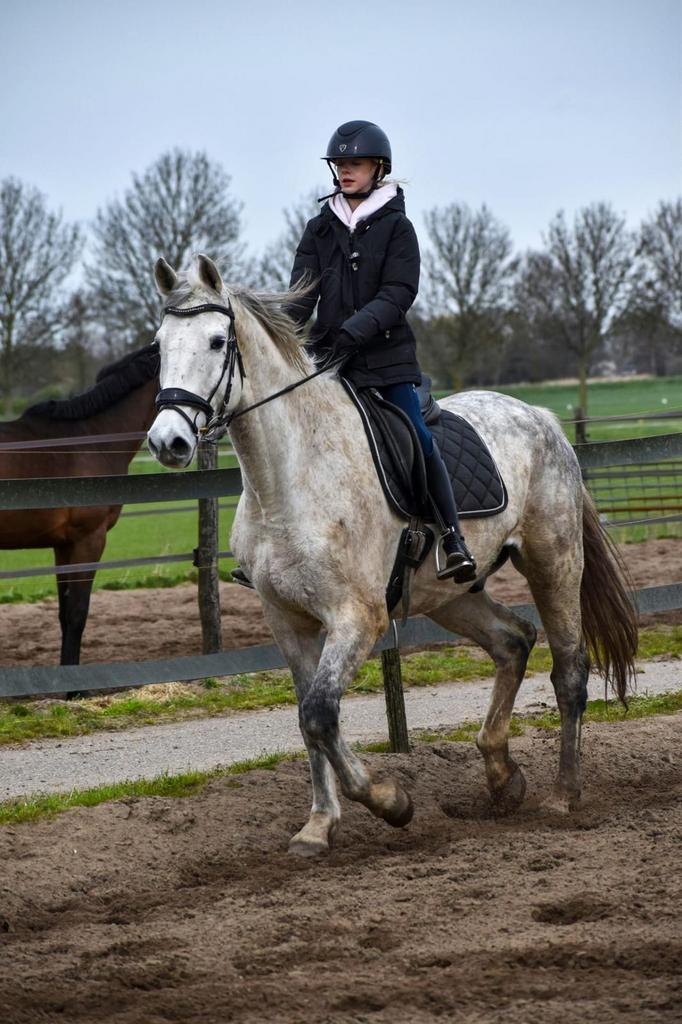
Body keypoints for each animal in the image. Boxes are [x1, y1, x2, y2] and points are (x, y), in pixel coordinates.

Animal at [147, 253, 638, 857]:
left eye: (218, 341)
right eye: (159, 344)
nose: (167, 442)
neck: (289, 478)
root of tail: (540, 417)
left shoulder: (358, 618)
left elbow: (320, 714)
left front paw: (391, 802)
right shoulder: (287, 620)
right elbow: (308, 720)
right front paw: (318, 826)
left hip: (554, 563)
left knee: (569, 669)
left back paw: (563, 795)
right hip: (448, 594)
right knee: (513, 641)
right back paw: (502, 776)